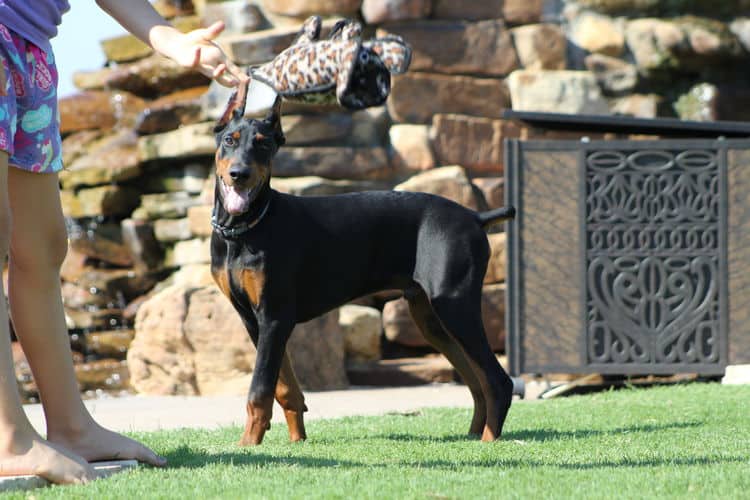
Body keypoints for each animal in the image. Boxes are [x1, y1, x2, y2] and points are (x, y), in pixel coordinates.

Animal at [210, 81, 516, 446]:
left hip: (455, 305)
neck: (243, 230)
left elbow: (259, 389)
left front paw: (248, 445)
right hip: (430, 318)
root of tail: (474, 216)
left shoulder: (273, 316)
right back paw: (472, 436)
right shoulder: (253, 320)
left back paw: (488, 442)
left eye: (263, 144)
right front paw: (296, 438)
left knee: (497, 379)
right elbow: (285, 386)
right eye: (229, 140)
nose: (239, 174)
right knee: (476, 379)